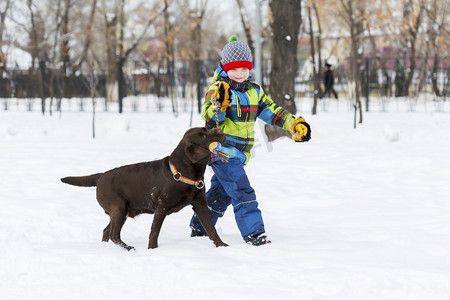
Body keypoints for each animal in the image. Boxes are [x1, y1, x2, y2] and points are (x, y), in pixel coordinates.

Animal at [60, 127, 229, 251]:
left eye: (206, 128)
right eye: (202, 135)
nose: (220, 130)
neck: (184, 173)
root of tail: (100, 176)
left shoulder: (200, 204)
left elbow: (211, 228)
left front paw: (222, 246)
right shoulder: (161, 208)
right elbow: (154, 233)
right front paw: (152, 250)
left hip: (121, 211)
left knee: (106, 231)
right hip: (119, 207)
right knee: (114, 234)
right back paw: (128, 248)